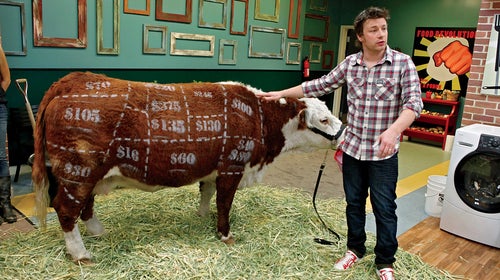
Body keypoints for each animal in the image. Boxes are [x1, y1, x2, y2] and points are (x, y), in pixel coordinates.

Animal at [30, 71, 344, 262]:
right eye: (324, 119)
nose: (343, 134)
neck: (259, 117)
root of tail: (73, 79)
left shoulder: (213, 169)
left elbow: (207, 193)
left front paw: (202, 217)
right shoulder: (232, 166)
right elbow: (224, 203)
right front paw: (225, 234)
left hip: (89, 173)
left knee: (86, 205)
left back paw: (97, 231)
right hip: (78, 170)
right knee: (66, 208)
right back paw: (80, 253)